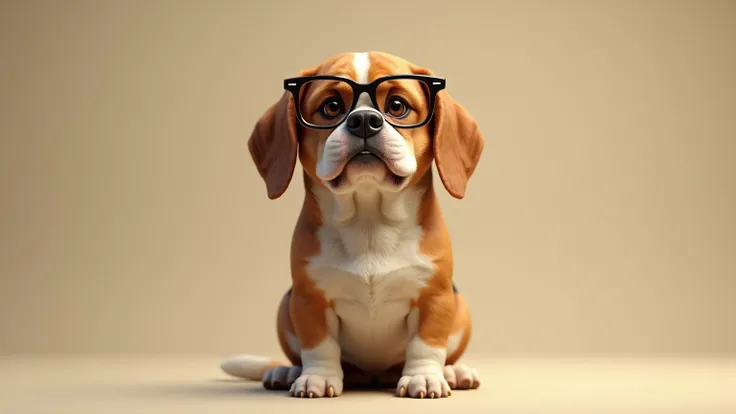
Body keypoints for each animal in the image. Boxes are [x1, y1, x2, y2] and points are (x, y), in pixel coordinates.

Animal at [220, 50, 484, 400]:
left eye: (397, 106)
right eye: (331, 106)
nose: (364, 121)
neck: (369, 221)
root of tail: (373, 376)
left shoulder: (435, 297)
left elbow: (426, 345)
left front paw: (423, 377)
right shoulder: (309, 299)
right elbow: (319, 347)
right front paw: (317, 378)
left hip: (460, 308)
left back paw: (455, 372)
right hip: (284, 307)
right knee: (298, 357)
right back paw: (286, 372)